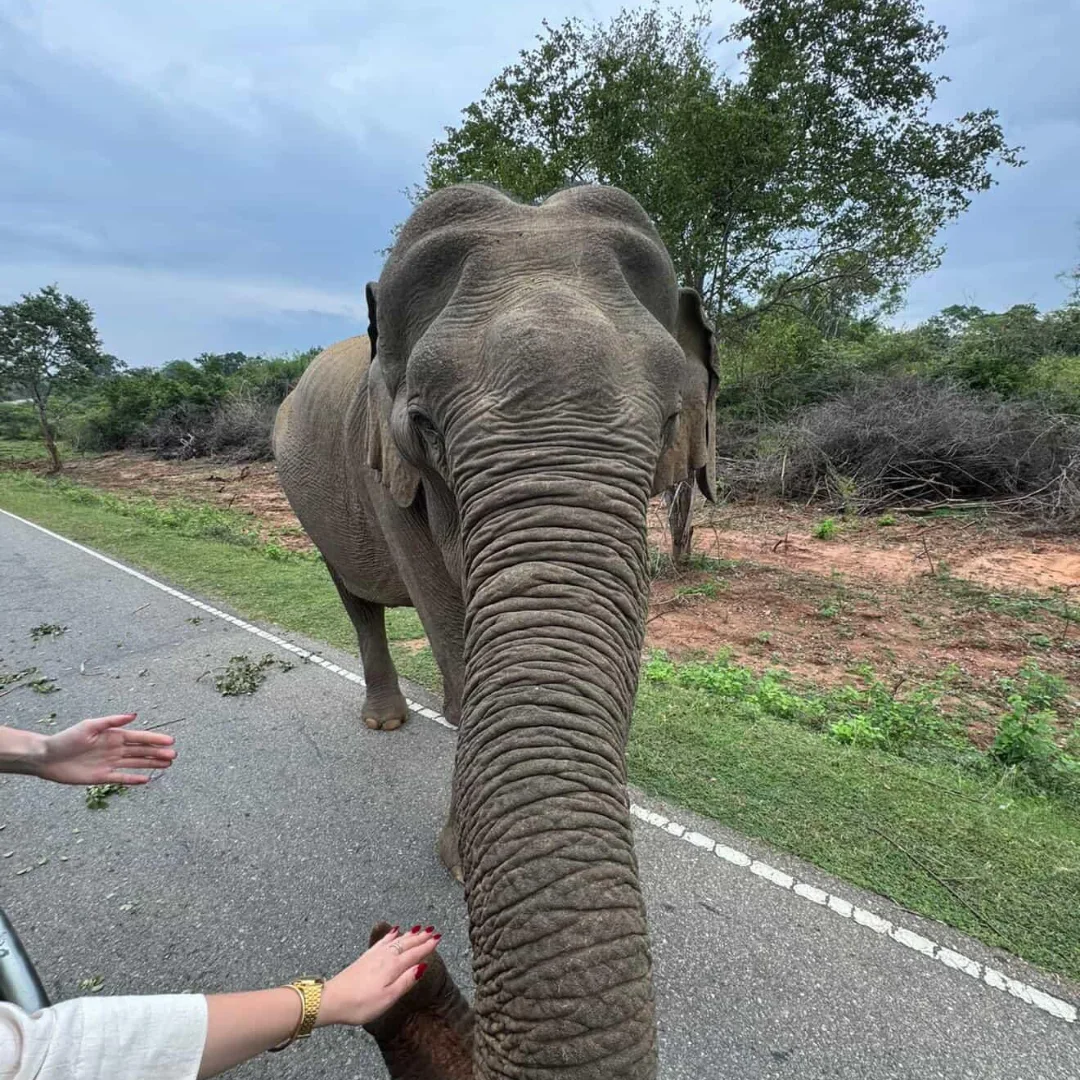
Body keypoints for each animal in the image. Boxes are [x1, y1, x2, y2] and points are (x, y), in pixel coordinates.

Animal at [272, 181, 717, 1079]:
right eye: (425, 426)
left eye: (668, 423)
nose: (409, 956)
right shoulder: (385, 476)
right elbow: (455, 657)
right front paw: (458, 863)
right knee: (356, 599)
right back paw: (384, 721)